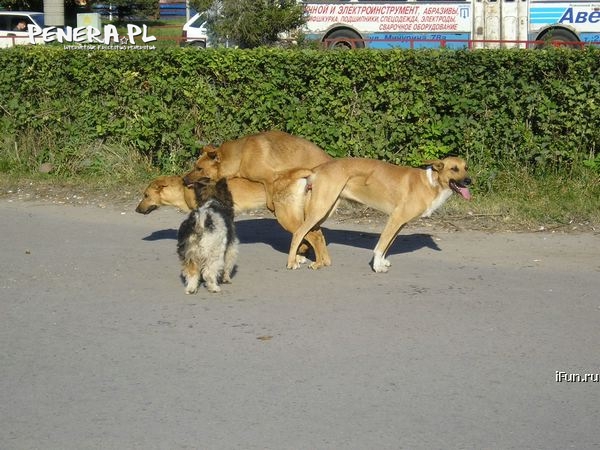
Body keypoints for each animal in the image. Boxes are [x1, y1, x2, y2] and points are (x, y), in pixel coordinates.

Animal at [183, 132, 332, 268]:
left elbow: (269, 194)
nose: (183, 180)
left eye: (199, 168)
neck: (242, 155)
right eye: (195, 166)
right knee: (313, 233)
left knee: (311, 234)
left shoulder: (270, 177)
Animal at [284, 156, 472, 272]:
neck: (431, 183)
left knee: (313, 233)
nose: (469, 180)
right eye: (454, 169)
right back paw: (292, 262)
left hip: (325, 209)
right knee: (299, 233)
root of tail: (317, 169)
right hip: (321, 208)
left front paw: (381, 262)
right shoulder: (395, 218)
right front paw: (377, 266)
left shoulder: (400, 223)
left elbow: (387, 245)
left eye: (466, 168)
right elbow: (380, 245)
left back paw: (318, 262)